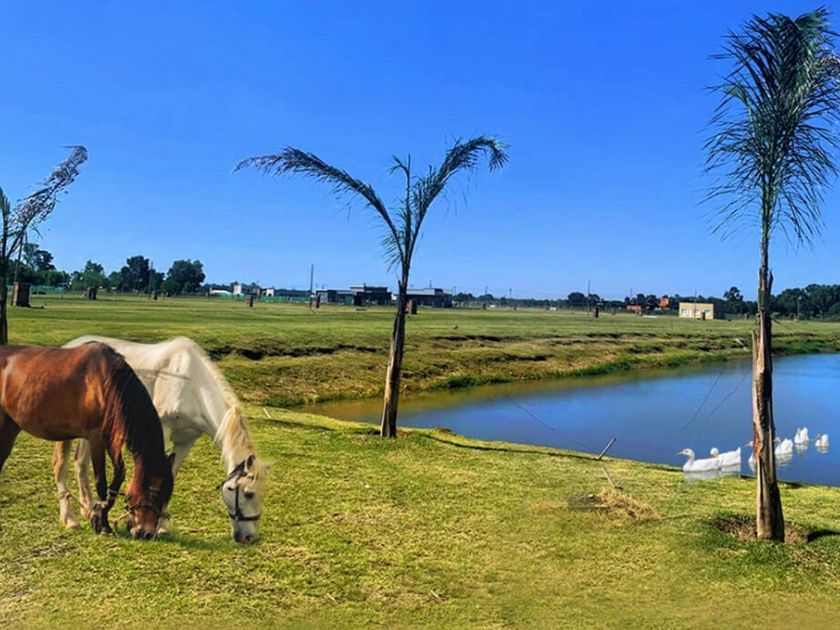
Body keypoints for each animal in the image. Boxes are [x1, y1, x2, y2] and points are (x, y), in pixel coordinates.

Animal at [0, 343, 173, 539]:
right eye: (155, 491)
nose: (147, 533)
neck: (106, 382)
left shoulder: (109, 439)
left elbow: (119, 475)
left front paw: (99, 515)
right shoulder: (95, 438)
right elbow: (101, 482)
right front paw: (102, 523)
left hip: (10, 427)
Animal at [55, 336, 268, 543]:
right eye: (248, 493)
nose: (250, 537)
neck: (191, 385)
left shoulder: (186, 440)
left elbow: (170, 474)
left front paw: (163, 525)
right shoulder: (161, 433)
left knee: (80, 462)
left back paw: (88, 508)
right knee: (63, 464)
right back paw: (70, 519)